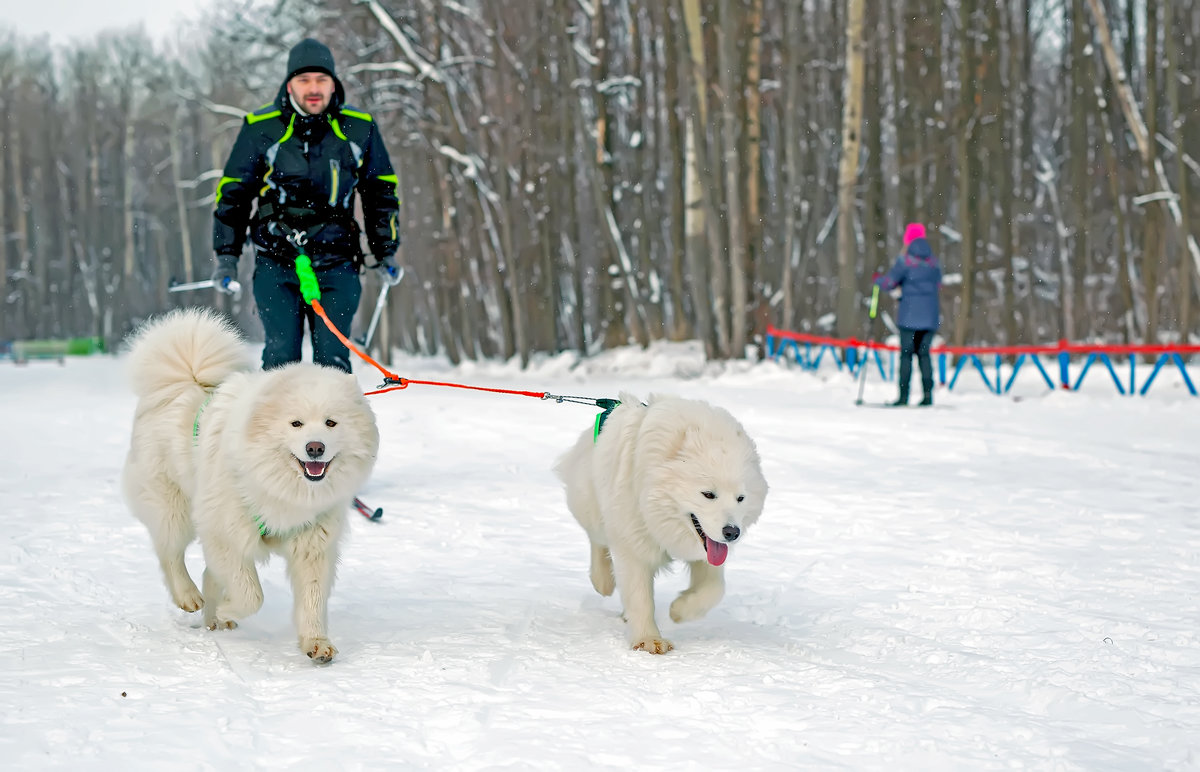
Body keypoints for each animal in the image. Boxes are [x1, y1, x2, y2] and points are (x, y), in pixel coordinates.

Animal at [121, 307, 374, 662]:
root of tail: (185, 380)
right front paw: (228, 608)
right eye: (296, 423)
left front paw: (316, 643)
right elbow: (251, 594)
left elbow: (312, 599)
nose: (315, 447)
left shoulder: (313, 544)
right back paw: (190, 597)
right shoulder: (227, 533)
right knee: (169, 553)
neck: (282, 490)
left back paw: (212, 618)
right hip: (175, 509)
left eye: (331, 423)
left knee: (203, 570)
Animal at [552, 393, 768, 653]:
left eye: (740, 498)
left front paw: (680, 611)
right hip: (592, 505)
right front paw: (648, 641)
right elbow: (639, 595)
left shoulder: (707, 551)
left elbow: (713, 589)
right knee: (597, 539)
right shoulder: (632, 542)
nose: (732, 532)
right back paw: (602, 580)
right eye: (708, 494)